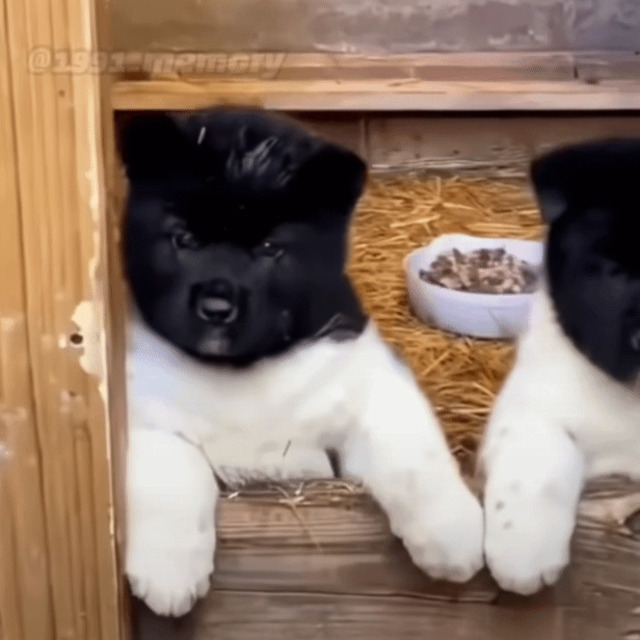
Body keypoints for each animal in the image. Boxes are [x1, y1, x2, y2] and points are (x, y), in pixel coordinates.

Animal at [121, 108, 484, 617]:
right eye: (184, 239)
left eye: (270, 249)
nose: (216, 306)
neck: (239, 372)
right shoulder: (137, 408)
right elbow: (171, 467)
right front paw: (170, 574)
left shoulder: (367, 379)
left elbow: (412, 452)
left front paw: (454, 535)